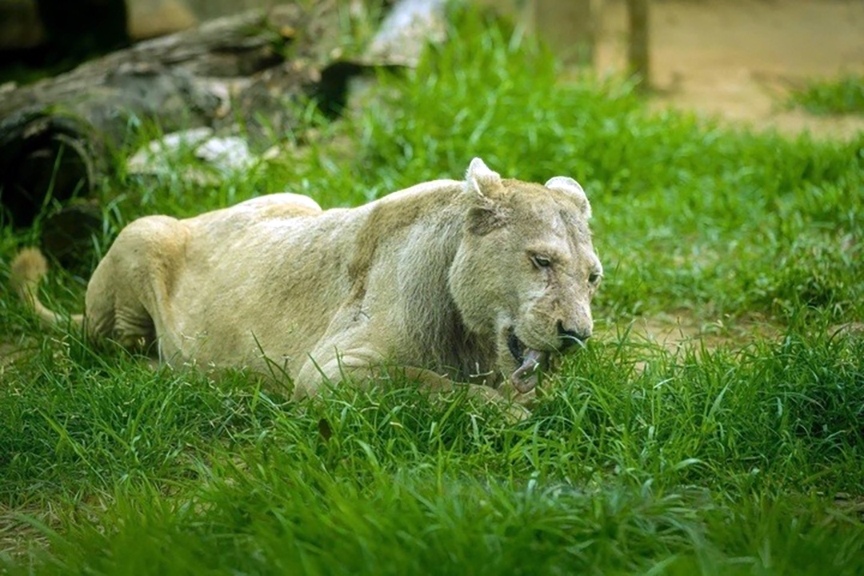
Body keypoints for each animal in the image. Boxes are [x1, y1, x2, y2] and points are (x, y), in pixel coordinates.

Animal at [11, 158, 602, 409]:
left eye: (593, 278)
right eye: (541, 261)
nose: (576, 334)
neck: (473, 333)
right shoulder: (330, 370)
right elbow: (428, 383)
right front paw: (510, 412)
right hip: (142, 233)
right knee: (111, 351)